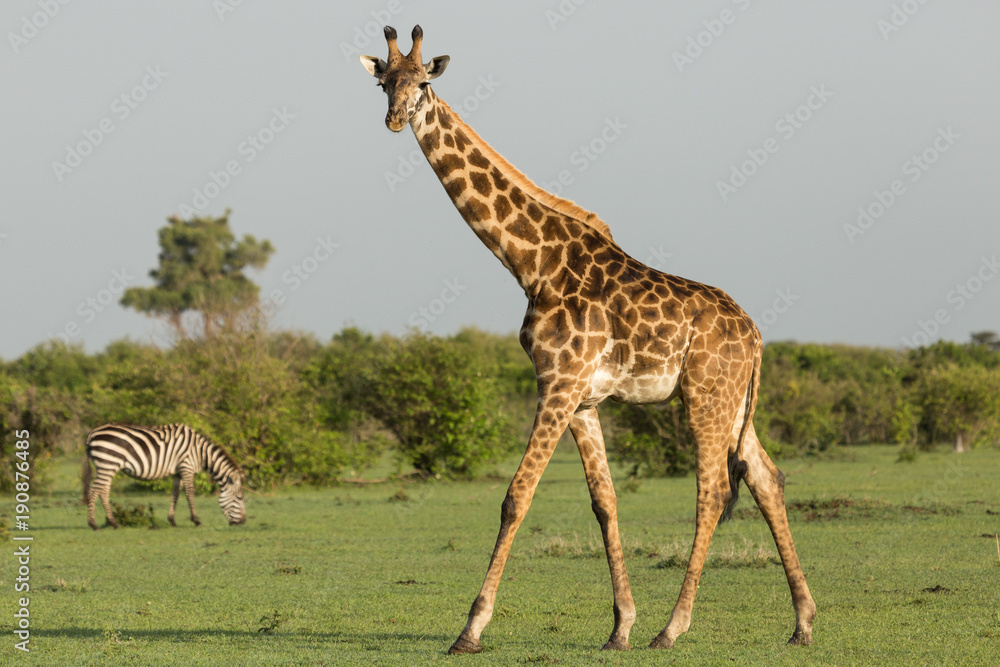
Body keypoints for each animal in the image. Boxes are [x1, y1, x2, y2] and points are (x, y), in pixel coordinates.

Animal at [360, 25, 816, 653]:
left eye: (424, 82)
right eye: (385, 82)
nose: (395, 118)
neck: (531, 263)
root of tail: (755, 334)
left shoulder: (557, 381)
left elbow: (516, 497)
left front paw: (470, 629)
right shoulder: (582, 397)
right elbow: (604, 501)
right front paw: (620, 626)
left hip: (705, 396)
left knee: (713, 492)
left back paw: (673, 628)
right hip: (731, 402)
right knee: (766, 477)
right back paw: (802, 622)